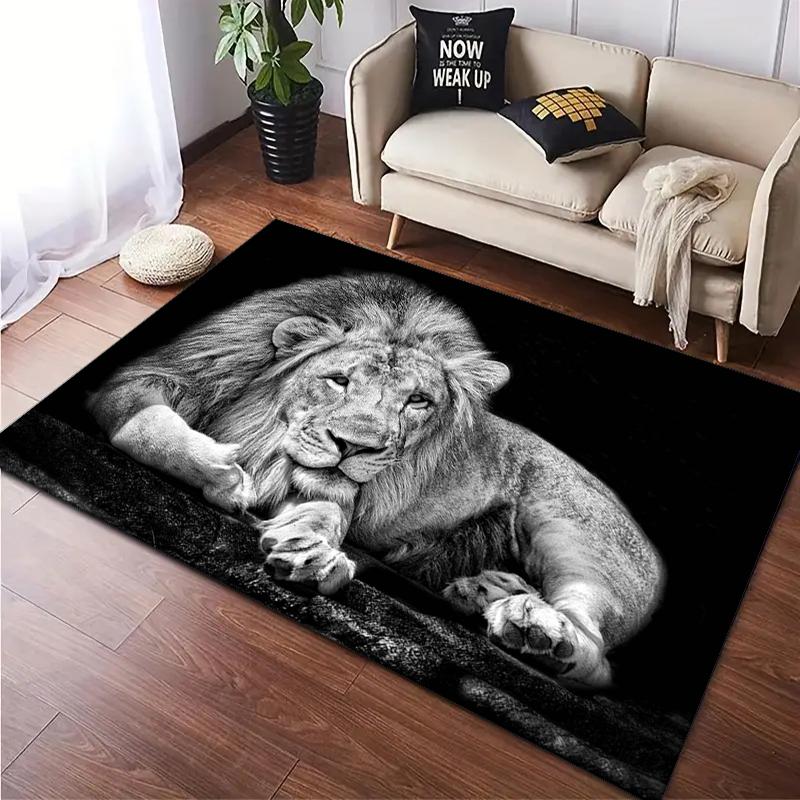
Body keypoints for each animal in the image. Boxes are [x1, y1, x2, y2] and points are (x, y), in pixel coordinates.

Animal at [88, 272, 664, 689]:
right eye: (338, 380)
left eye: (419, 401)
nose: (354, 447)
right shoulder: (146, 380)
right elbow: (146, 427)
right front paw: (228, 474)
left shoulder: (329, 491)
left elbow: (323, 513)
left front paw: (312, 551)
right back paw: (485, 590)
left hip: (575, 536)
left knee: (596, 653)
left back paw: (539, 632)